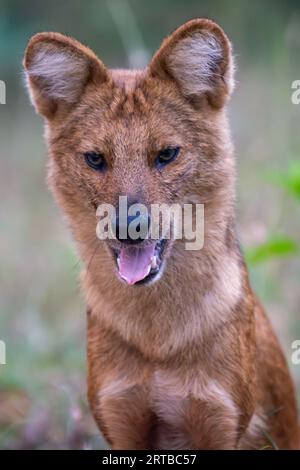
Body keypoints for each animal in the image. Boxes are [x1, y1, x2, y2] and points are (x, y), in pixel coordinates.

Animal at [24, 18, 298, 450]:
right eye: (96, 159)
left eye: (166, 154)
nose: (128, 225)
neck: (157, 339)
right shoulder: (121, 421)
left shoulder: (221, 422)